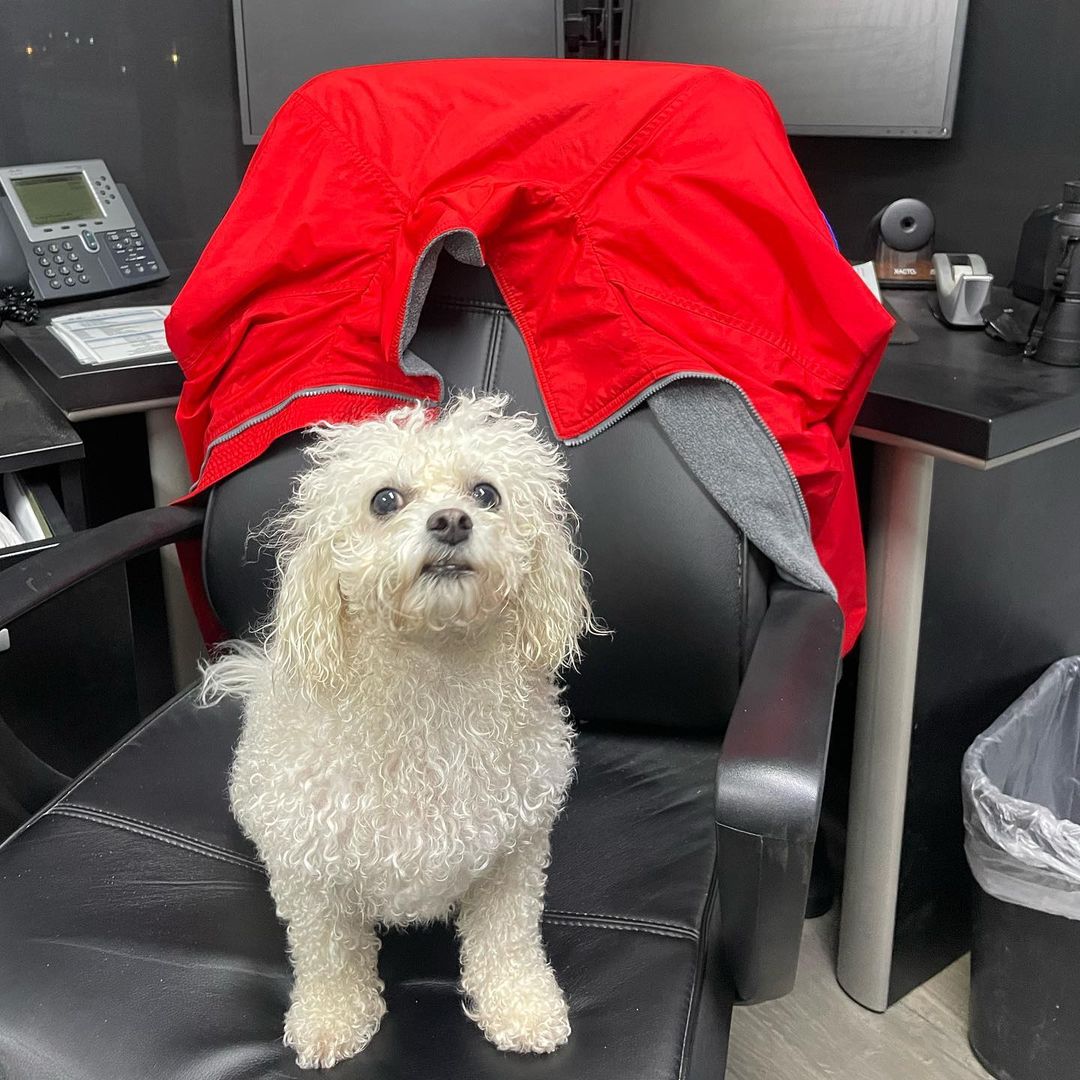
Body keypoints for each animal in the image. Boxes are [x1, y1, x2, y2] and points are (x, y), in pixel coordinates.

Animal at [200, 397, 591, 1071]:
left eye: (486, 493)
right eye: (384, 499)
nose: (452, 521)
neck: (430, 683)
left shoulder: (514, 854)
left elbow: (508, 941)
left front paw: (522, 1008)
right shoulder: (312, 868)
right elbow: (328, 955)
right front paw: (331, 1021)